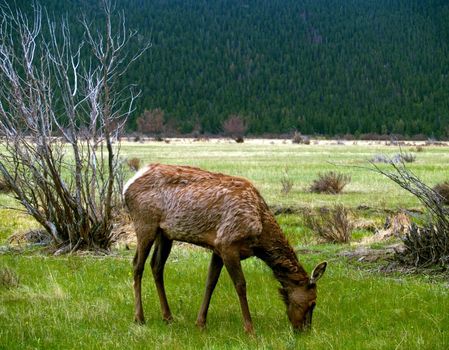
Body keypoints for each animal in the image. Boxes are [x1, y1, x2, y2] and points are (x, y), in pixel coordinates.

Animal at [122, 164, 326, 334]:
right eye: (313, 302)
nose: (304, 331)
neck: (259, 236)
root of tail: (127, 185)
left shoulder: (217, 248)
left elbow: (210, 282)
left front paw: (200, 323)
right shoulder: (228, 244)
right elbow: (241, 285)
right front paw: (249, 328)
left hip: (165, 233)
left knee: (156, 265)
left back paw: (168, 317)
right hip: (145, 224)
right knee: (137, 265)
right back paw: (139, 318)